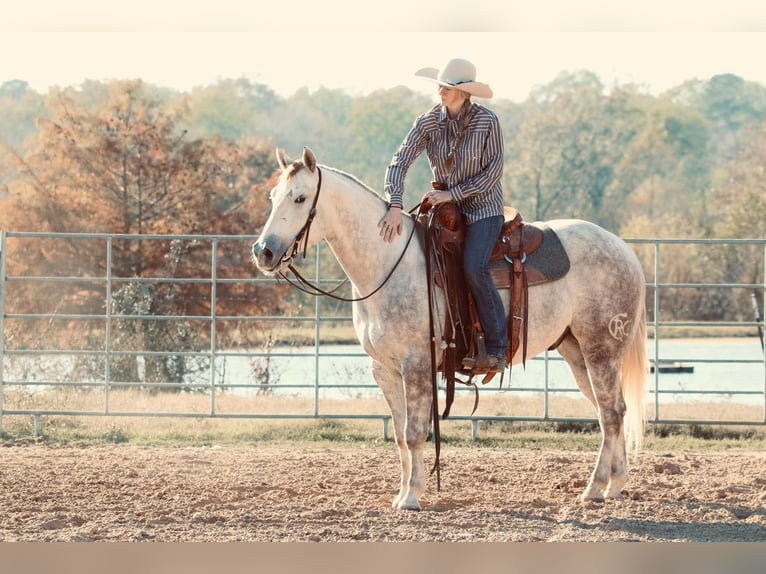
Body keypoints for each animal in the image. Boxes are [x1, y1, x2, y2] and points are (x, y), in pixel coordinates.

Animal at [255, 148, 652, 512]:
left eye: (300, 197)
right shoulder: (384, 370)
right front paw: (402, 493)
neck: (388, 264)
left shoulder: (417, 364)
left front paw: (412, 496)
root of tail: (625, 250)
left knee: (610, 413)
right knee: (612, 411)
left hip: (601, 350)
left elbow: (415, 433)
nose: (263, 252)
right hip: (576, 352)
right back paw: (614, 485)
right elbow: (400, 436)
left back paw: (593, 488)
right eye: (273, 196)